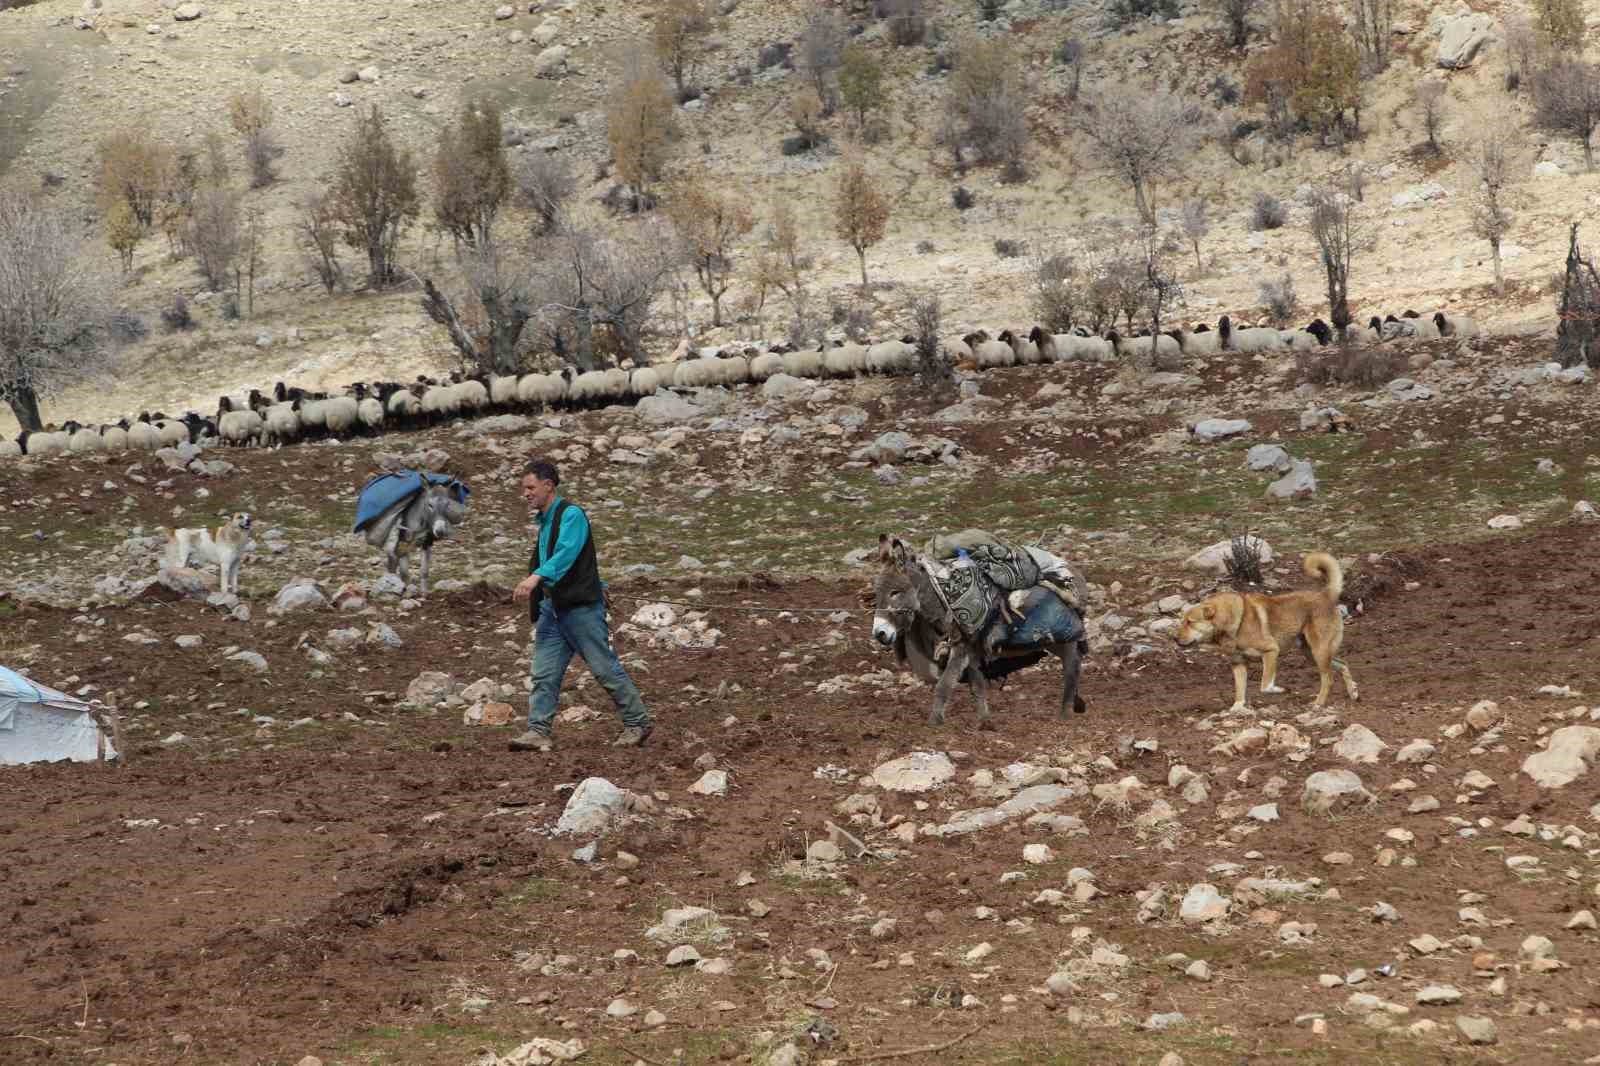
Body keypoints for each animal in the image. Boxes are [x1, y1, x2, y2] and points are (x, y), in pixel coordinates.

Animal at [1171, 550, 1356, 710]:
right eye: (1182, 621)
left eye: (1190, 622)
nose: (1174, 639)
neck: (1235, 622)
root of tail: (1326, 595)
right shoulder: (1238, 664)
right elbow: (1239, 692)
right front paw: (1236, 709)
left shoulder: (1271, 651)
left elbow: (1265, 685)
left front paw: (1280, 689)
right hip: (1310, 653)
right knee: (1343, 664)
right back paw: (1353, 692)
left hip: (1318, 652)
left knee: (1328, 678)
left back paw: (1318, 703)